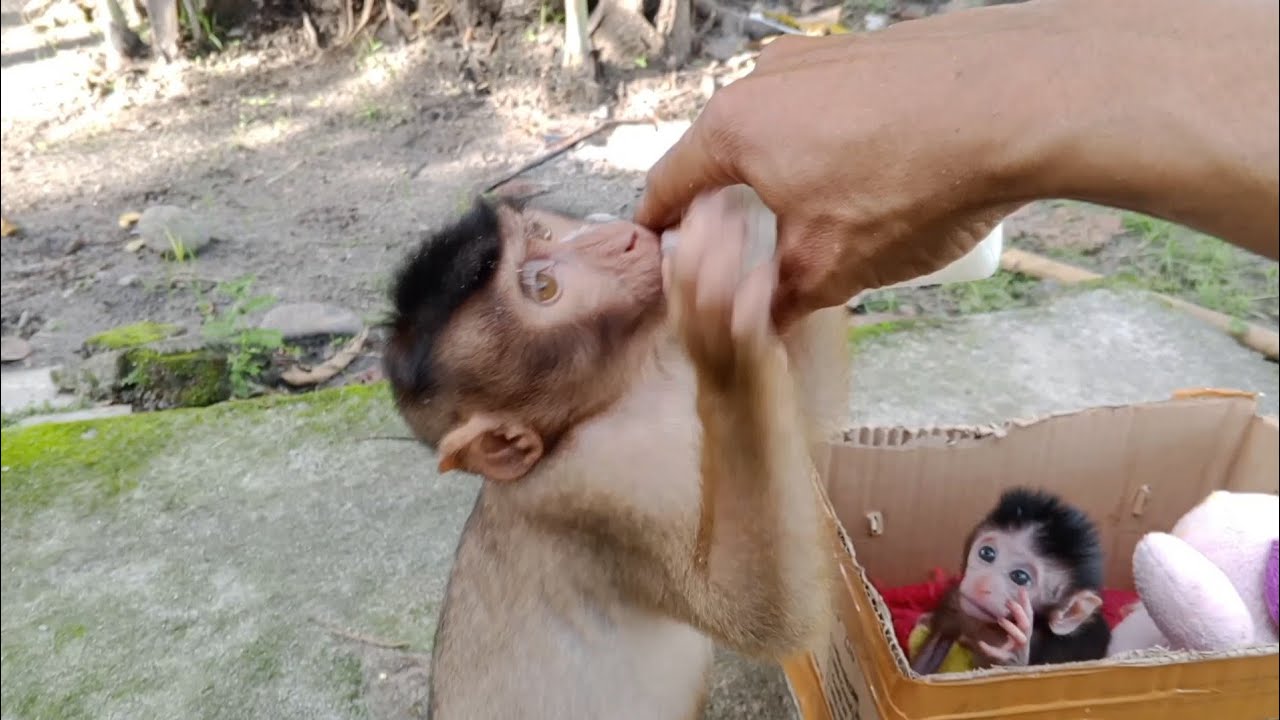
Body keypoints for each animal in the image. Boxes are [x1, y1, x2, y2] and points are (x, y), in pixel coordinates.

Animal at [382, 186, 845, 719]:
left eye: (542, 232)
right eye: (543, 288)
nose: (623, 236)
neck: (636, 380)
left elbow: (807, 423)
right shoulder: (597, 490)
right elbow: (761, 615)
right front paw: (719, 321)